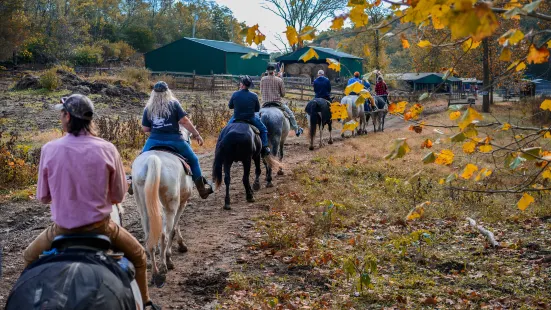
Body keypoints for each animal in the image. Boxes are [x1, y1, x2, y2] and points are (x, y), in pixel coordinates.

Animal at [131, 127, 195, 286]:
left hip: (143, 207)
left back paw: (155, 273)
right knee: (164, 235)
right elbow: (174, 229)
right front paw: (177, 250)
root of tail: (153, 160)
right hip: (170, 205)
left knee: (149, 238)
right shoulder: (181, 203)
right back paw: (165, 267)